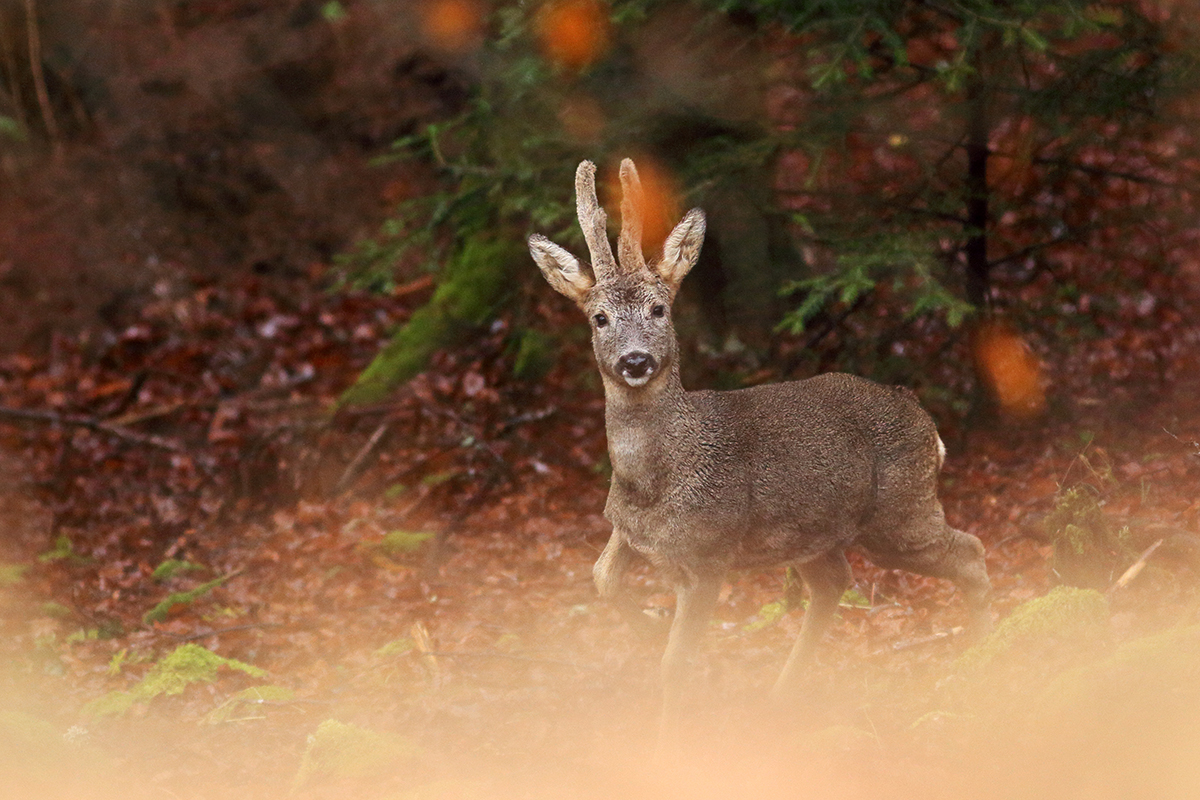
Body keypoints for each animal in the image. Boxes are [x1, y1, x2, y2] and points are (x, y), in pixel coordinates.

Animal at [530, 159, 988, 743]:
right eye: (599, 318)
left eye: (659, 308)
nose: (635, 361)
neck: (654, 480)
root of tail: (925, 419)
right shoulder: (626, 529)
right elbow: (601, 579)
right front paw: (649, 633)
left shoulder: (710, 555)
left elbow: (676, 662)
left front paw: (664, 742)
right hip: (817, 533)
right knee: (835, 583)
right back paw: (780, 696)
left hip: (901, 512)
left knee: (970, 550)